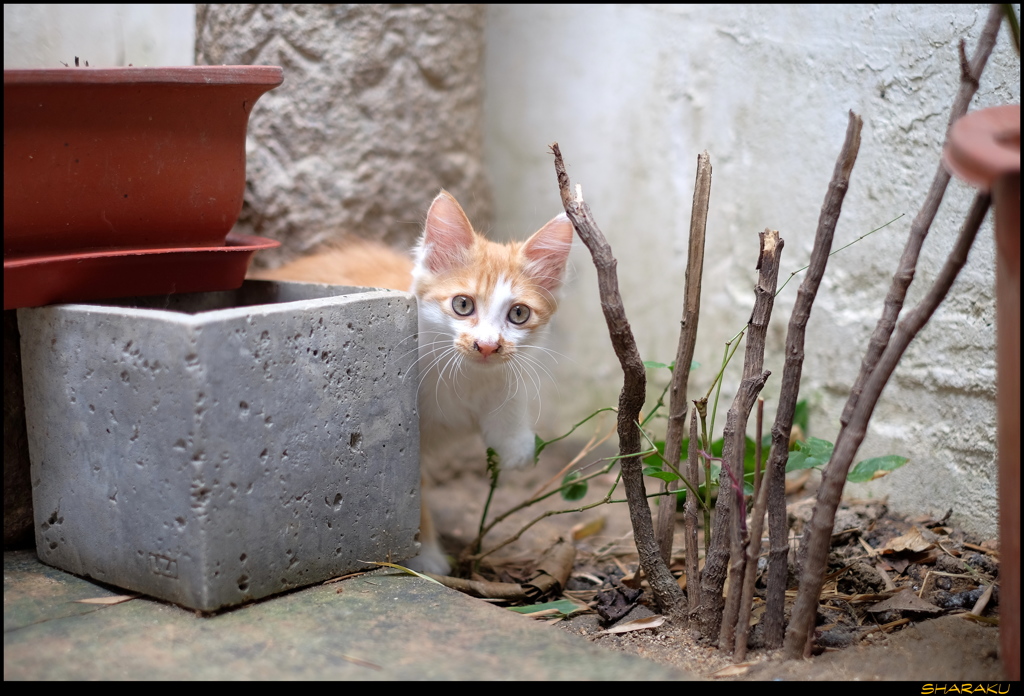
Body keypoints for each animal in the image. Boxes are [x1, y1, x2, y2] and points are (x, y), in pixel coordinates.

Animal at [256, 190, 577, 569]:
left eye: (519, 313)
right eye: (463, 305)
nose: (487, 345)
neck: (462, 376)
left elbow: (507, 390)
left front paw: (515, 442)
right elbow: (413, 491)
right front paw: (425, 555)